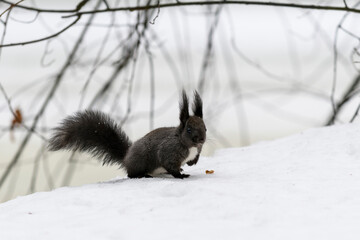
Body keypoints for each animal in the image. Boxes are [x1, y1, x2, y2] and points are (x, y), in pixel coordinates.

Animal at [47, 91, 205, 179]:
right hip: (140, 161)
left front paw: (191, 163)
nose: (201, 139)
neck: (187, 144)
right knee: (131, 174)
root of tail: (126, 157)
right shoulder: (169, 150)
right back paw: (143, 175)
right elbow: (169, 164)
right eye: (188, 129)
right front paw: (180, 175)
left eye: (205, 128)